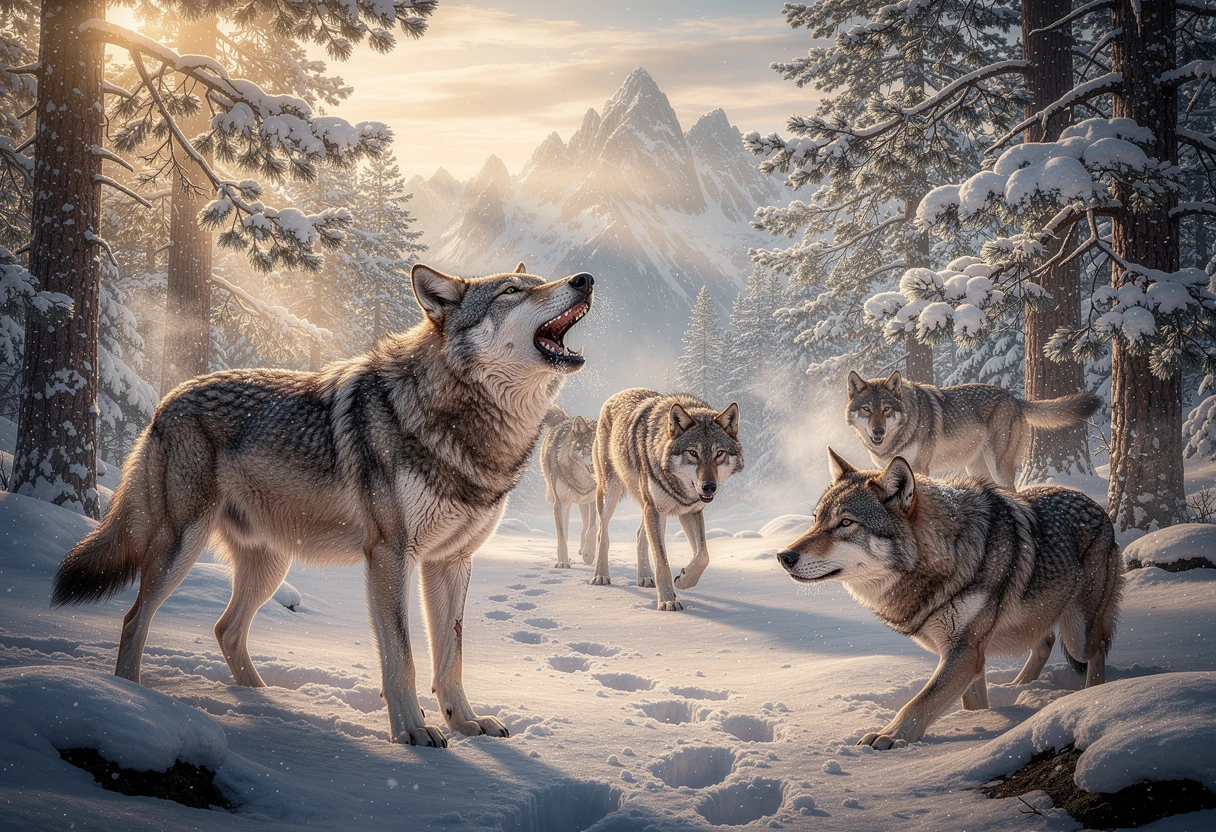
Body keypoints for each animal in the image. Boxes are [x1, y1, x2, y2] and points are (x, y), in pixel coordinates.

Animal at [540, 411, 598, 568]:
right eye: (588, 447)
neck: (582, 481)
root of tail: (565, 419)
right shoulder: (560, 503)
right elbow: (561, 537)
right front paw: (563, 562)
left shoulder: (595, 499)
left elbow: (592, 529)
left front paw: (588, 555)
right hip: (564, 504)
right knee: (565, 530)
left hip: (583, 503)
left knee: (585, 527)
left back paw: (583, 550)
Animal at [591, 389, 742, 610]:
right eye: (693, 453)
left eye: (719, 453)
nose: (709, 487)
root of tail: (618, 394)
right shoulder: (655, 509)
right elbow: (662, 563)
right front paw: (667, 601)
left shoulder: (690, 511)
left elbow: (703, 556)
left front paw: (684, 580)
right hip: (610, 495)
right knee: (602, 534)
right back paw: (600, 576)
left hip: (645, 505)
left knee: (639, 534)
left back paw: (645, 578)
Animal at [777, 448, 1123, 749]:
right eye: (816, 520)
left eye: (846, 523)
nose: (783, 556)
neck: (943, 559)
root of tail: (1100, 509)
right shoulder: (968, 656)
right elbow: (969, 704)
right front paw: (982, 720)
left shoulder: (965, 652)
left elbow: (920, 702)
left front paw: (890, 736)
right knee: (1045, 641)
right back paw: (1019, 687)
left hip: (1078, 635)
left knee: (1095, 652)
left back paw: (1092, 695)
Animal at [846, 370, 1101, 488]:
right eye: (867, 409)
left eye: (886, 409)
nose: (878, 432)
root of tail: (1014, 398)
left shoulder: (919, 468)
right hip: (976, 468)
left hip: (999, 467)